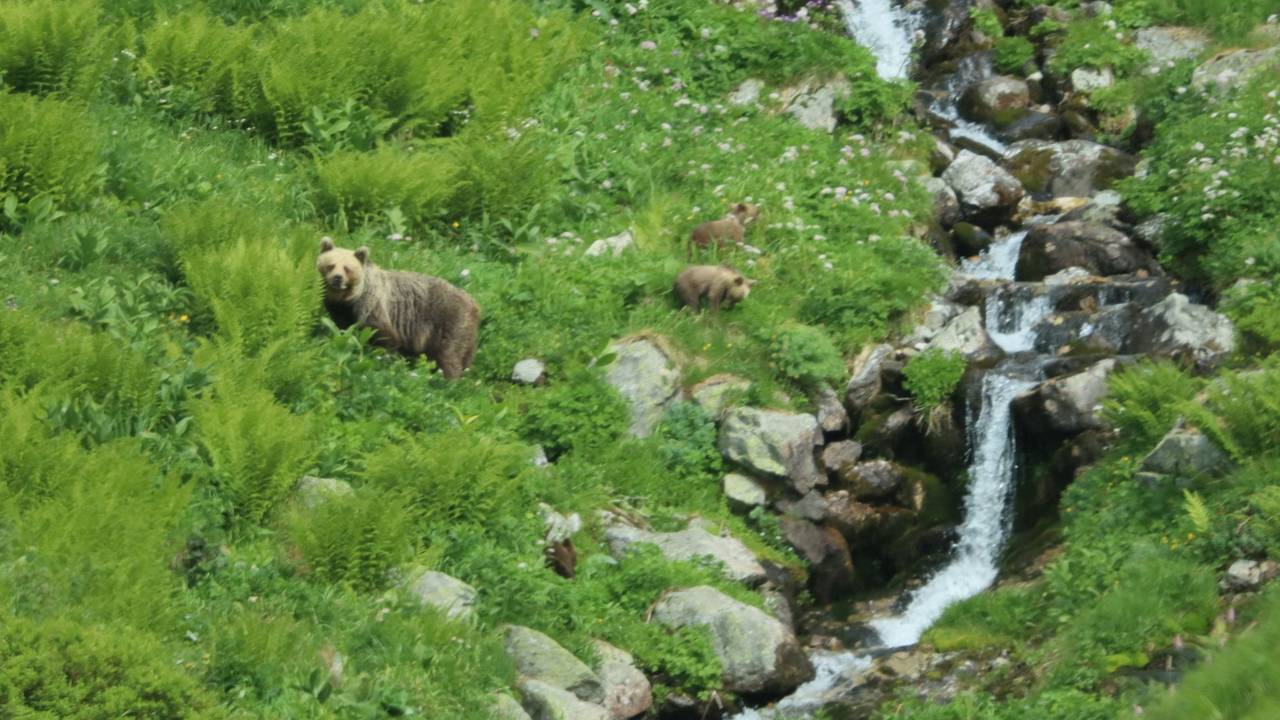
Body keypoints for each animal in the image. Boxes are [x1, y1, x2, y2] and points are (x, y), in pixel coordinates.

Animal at [316, 238, 480, 379]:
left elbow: (384, 334)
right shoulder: (339, 310)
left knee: (449, 354)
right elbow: (342, 329)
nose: (337, 278)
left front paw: (386, 360)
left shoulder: (371, 305)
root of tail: (474, 304)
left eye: (347, 268)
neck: (349, 298)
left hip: (450, 321)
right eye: (330, 265)